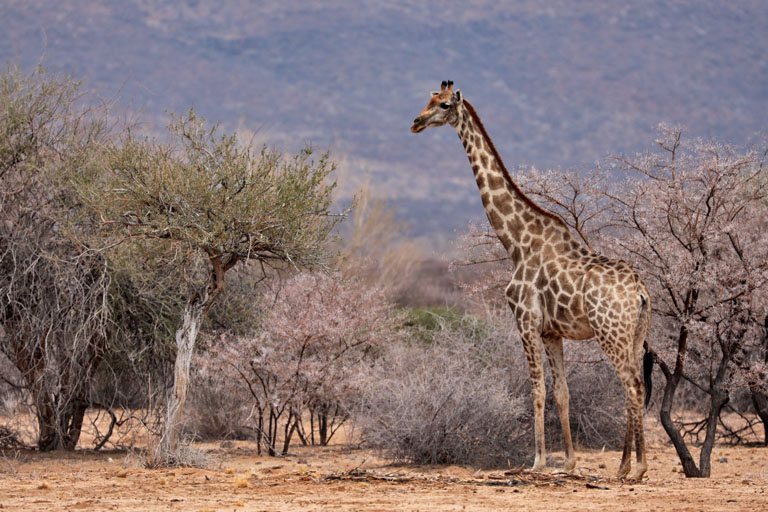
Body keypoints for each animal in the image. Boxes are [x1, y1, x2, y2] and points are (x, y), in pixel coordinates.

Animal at [412, 79, 652, 480]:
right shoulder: (551, 331)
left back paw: (636, 468)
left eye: (444, 105)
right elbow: (562, 393)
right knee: (638, 386)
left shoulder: (525, 320)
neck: (516, 241)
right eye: (428, 99)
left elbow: (536, 391)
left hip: (610, 331)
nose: (416, 122)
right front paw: (568, 462)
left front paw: (537, 461)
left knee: (632, 385)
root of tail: (639, 290)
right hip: (636, 334)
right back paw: (623, 466)